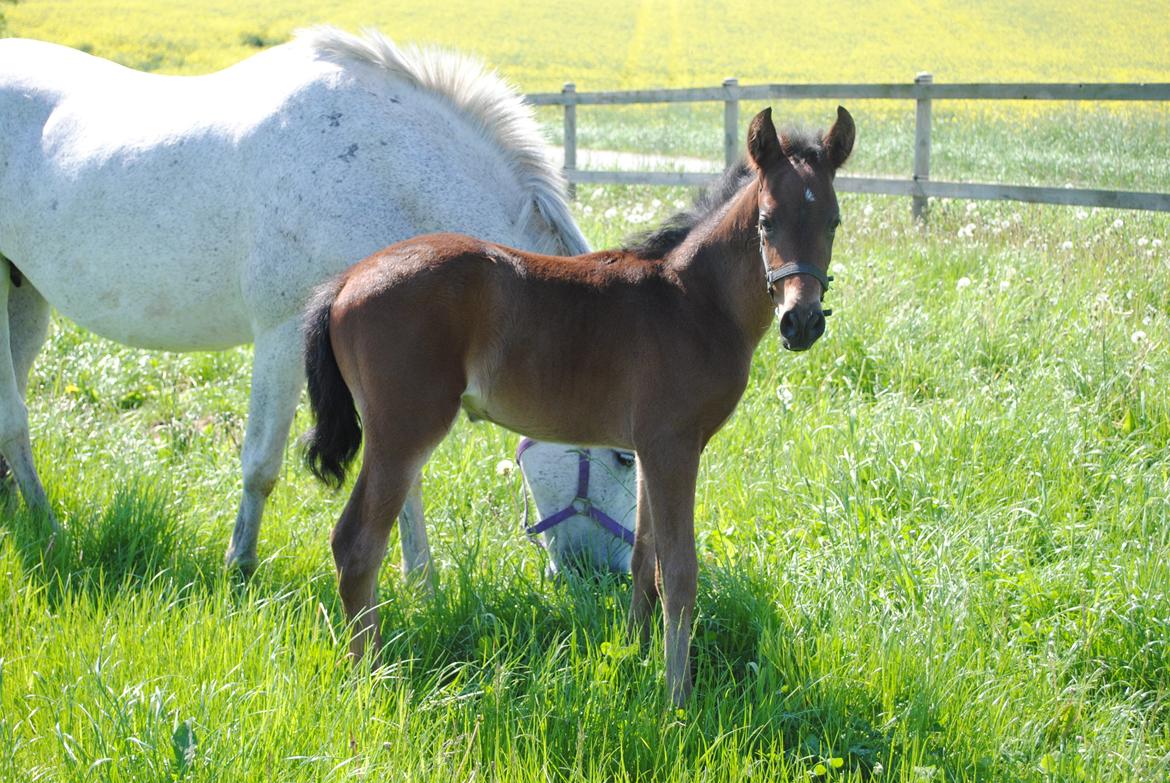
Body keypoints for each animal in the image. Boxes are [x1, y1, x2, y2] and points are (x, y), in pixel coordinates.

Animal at [0, 27, 603, 573]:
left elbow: (402, 476)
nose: (601, 576)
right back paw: (49, 526)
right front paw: (240, 567)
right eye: (617, 457)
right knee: (15, 419)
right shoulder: (282, 336)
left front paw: (421, 580)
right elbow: (261, 465)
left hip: (23, 300)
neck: (379, 169)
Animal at [301, 105, 851, 702]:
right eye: (767, 222)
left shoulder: (648, 450)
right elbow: (680, 570)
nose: (802, 322)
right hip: (402, 434)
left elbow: (643, 558)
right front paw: (676, 697)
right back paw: (370, 680)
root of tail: (346, 279)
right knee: (357, 546)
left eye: (834, 222)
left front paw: (635, 657)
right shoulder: (676, 448)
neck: (693, 300)